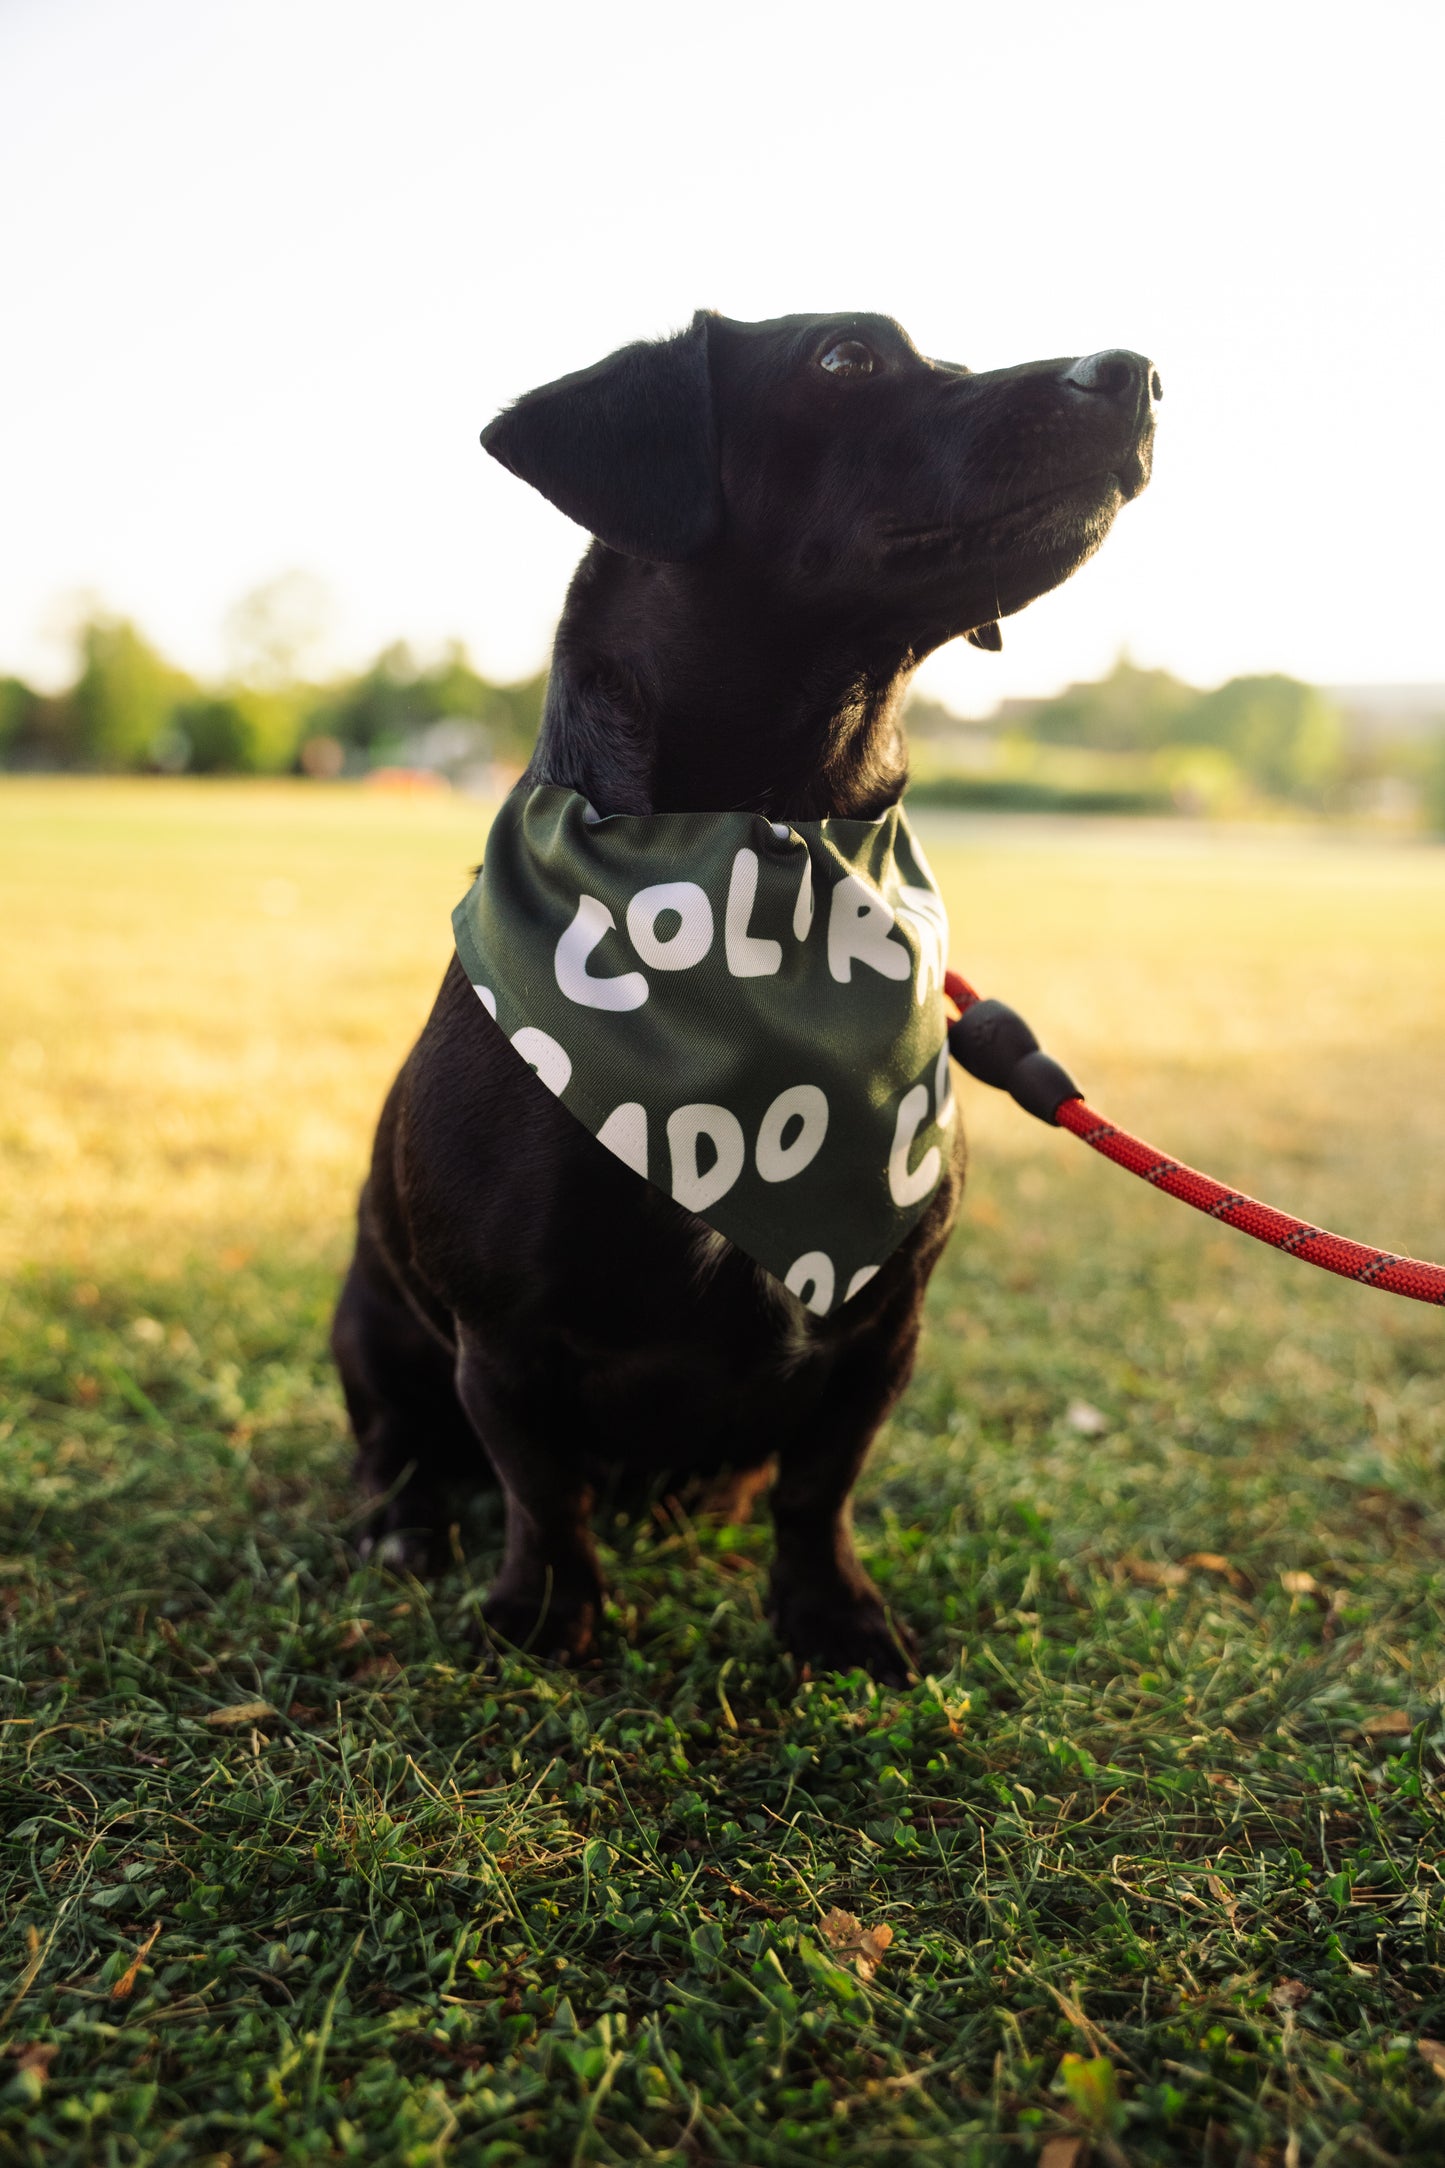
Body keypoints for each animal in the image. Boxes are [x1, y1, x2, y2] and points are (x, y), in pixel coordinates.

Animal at [333, 314, 1161, 1682]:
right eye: (843, 360)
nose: (1136, 373)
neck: (777, 840)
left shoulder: (880, 1327)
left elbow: (819, 1488)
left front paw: (831, 1616)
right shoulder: (499, 1336)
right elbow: (537, 1487)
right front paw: (546, 1615)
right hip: (371, 1326)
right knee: (396, 1445)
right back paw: (403, 1526)